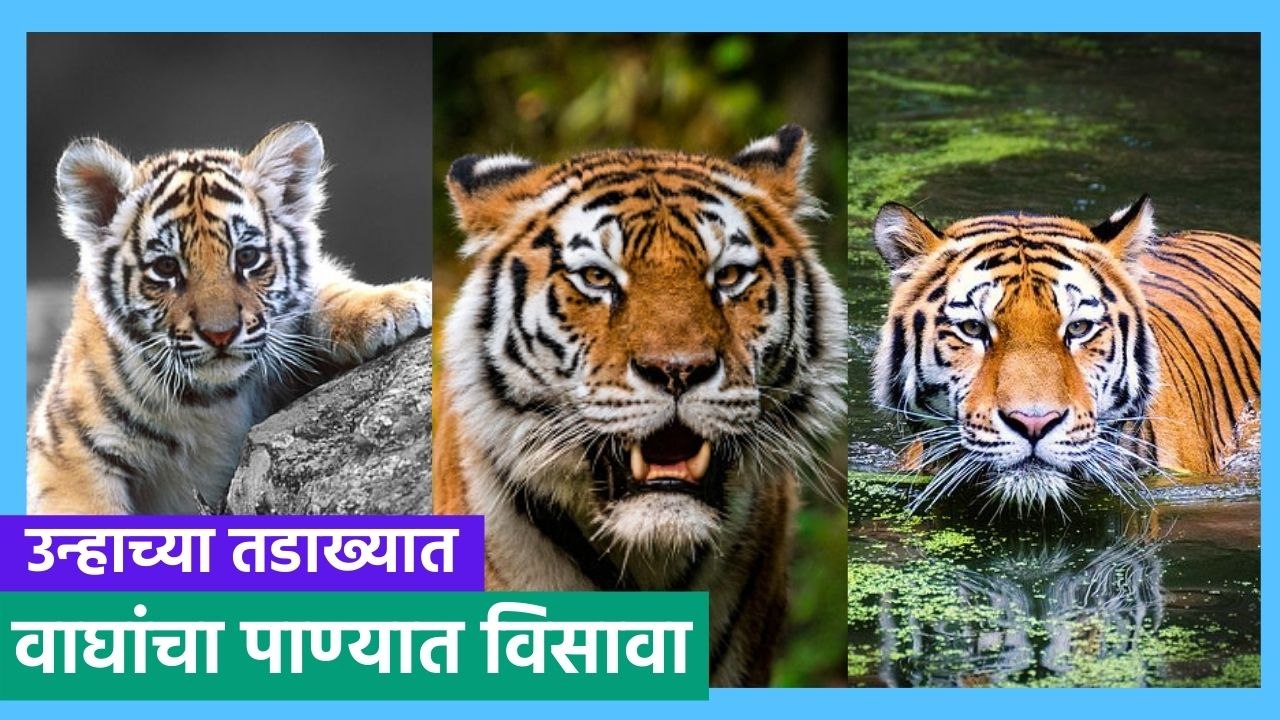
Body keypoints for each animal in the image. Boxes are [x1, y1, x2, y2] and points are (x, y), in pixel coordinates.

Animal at [28, 122, 431, 515]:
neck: (210, 401)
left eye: (247, 257)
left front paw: (397, 302)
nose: (220, 334)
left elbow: (322, 290)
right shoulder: (69, 452)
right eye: (166, 267)